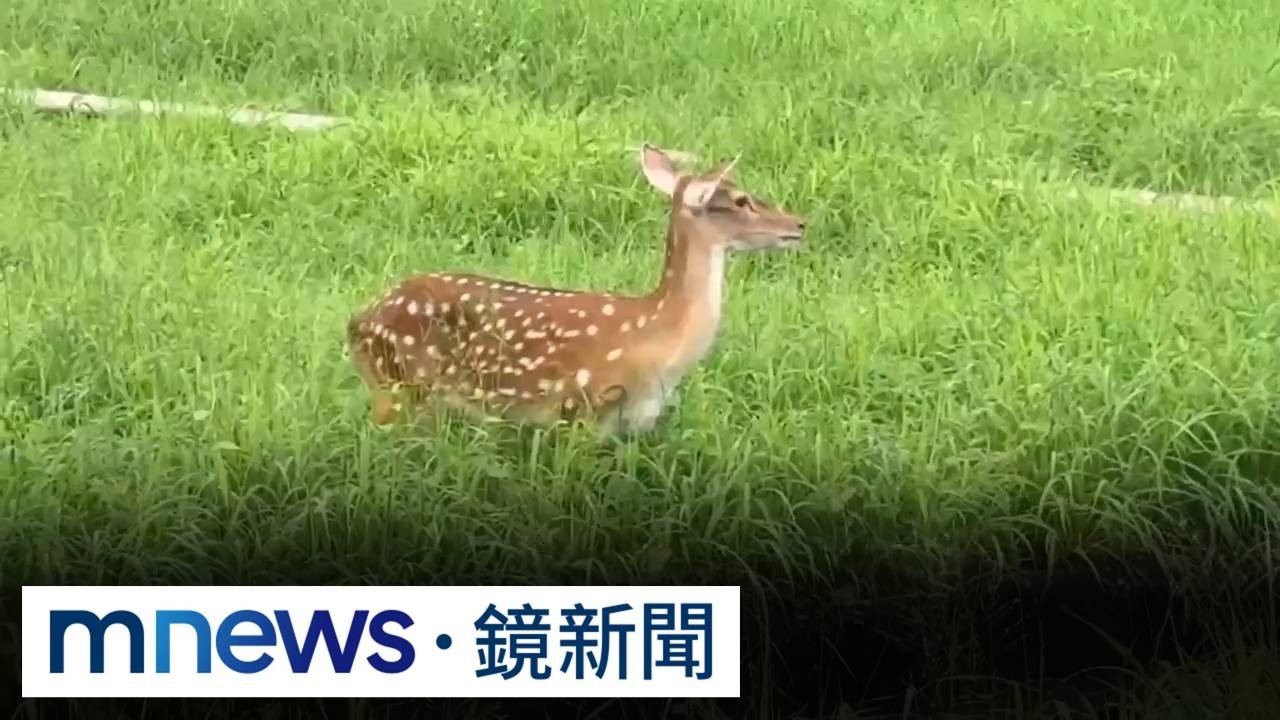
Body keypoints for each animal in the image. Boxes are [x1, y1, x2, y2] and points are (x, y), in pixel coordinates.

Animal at [345, 143, 807, 439]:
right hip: (400, 386)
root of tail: (356, 323)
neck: (659, 341)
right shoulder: (578, 409)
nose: (799, 224)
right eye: (742, 200)